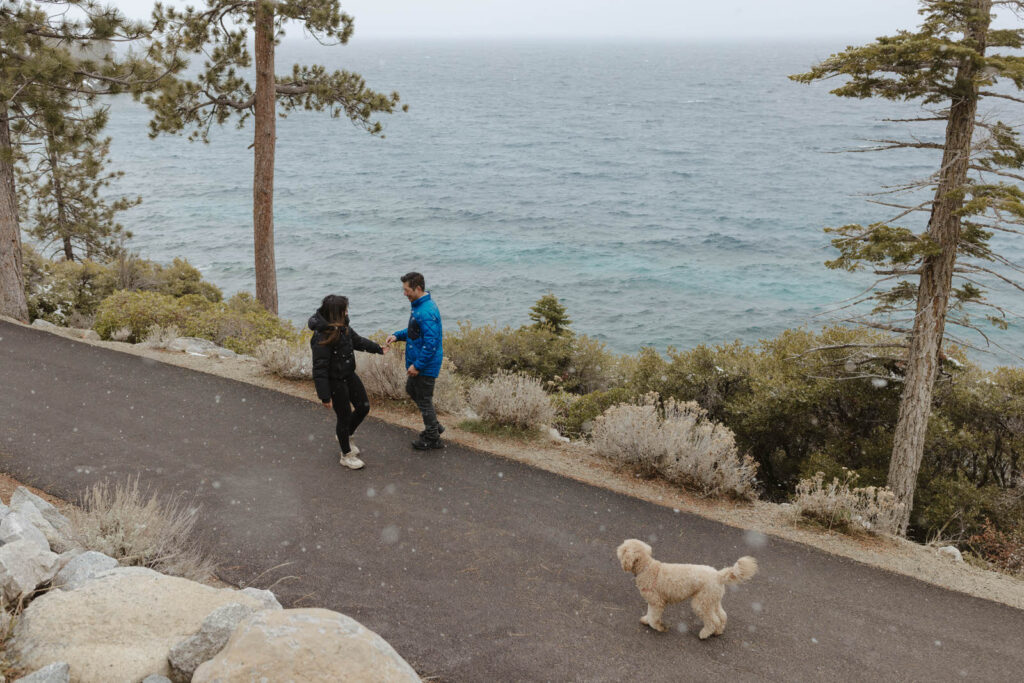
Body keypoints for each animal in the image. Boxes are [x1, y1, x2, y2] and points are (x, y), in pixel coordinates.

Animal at [610, 540, 757, 643]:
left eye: (623, 549)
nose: (616, 549)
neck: (647, 568)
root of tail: (719, 575)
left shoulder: (656, 602)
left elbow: (653, 617)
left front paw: (658, 627)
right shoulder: (653, 601)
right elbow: (649, 614)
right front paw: (646, 620)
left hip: (701, 603)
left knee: (712, 620)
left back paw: (704, 634)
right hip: (712, 600)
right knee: (722, 616)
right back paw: (718, 631)